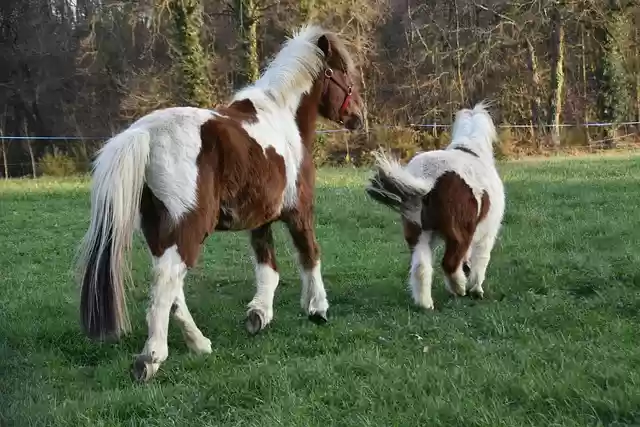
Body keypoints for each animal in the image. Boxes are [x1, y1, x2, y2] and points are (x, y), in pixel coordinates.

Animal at [75, 25, 364, 382]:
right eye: (342, 72)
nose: (357, 117)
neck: (282, 119)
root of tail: (145, 133)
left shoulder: (260, 219)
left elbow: (268, 268)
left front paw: (259, 315)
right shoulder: (299, 212)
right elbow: (309, 256)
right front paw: (317, 309)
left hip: (159, 231)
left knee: (172, 287)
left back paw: (199, 344)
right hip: (189, 228)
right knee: (167, 282)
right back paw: (151, 357)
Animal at [365, 102, 504, 310]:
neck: (470, 148)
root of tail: (428, 178)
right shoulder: (487, 233)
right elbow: (481, 261)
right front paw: (476, 289)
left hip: (417, 232)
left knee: (420, 268)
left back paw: (426, 304)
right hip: (460, 232)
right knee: (450, 263)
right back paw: (459, 287)